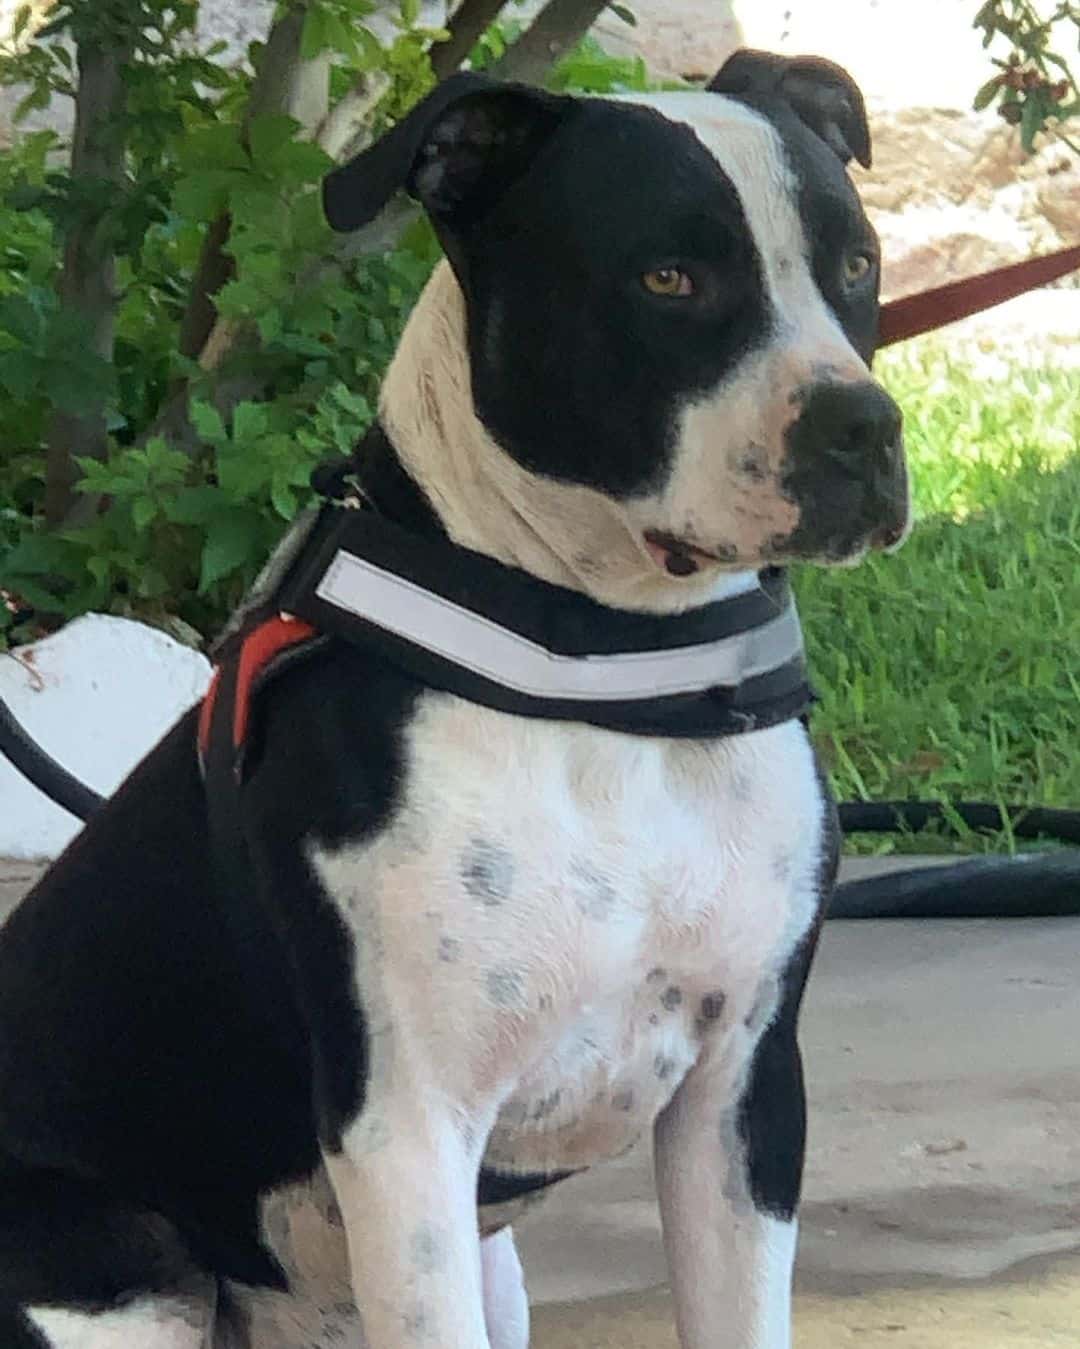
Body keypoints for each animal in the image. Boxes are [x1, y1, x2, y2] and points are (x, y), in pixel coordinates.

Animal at [0, 47, 906, 1349]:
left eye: (856, 264)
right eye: (668, 277)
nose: (863, 426)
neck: (602, 666)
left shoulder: (743, 1095)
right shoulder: (408, 1134)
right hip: (114, 1272)